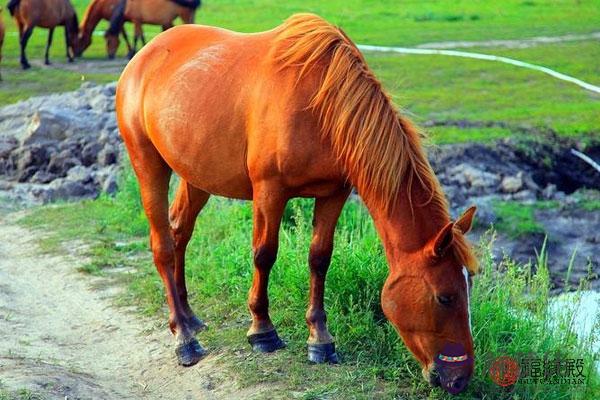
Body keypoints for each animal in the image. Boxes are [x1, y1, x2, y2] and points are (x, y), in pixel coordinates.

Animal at [117, 13, 478, 396]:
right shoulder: (269, 192)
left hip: (196, 176)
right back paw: (184, 338)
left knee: (179, 233)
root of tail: (144, 57)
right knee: (163, 246)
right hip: (148, 164)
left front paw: (320, 340)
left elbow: (320, 258)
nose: (460, 378)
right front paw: (262, 330)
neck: (320, 105)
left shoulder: (334, 194)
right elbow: (264, 254)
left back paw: (189, 317)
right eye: (445, 297)